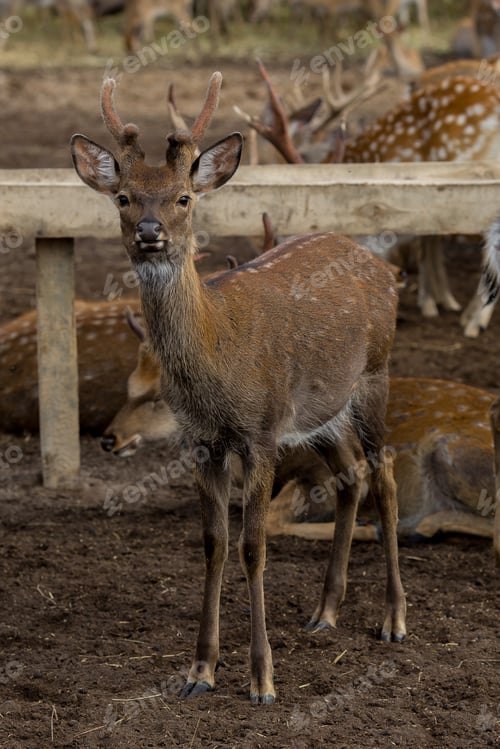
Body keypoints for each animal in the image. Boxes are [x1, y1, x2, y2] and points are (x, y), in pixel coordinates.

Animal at [71, 71, 407, 704]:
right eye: (123, 197)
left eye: (184, 196)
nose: (150, 233)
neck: (218, 366)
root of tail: (374, 260)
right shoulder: (203, 441)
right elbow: (214, 544)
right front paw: (199, 670)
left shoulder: (260, 433)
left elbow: (254, 547)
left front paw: (262, 679)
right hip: (319, 413)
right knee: (350, 475)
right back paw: (324, 612)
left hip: (375, 374)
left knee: (386, 475)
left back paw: (394, 620)